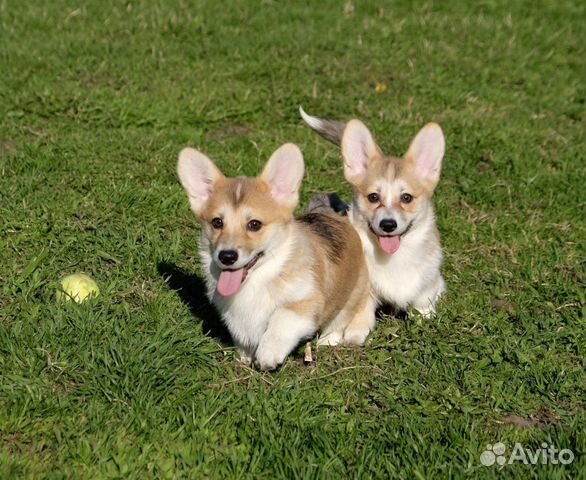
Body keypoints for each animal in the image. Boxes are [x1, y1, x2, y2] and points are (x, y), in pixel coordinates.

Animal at [176, 144, 372, 370]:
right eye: (217, 222)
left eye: (254, 224)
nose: (226, 256)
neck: (259, 278)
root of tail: (329, 214)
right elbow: (242, 333)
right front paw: (243, 357)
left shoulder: (305, 302)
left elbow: (282, 319)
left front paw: (268, 353)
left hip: (353, 292)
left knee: (340, 317)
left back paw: (328, 339)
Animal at [298, 109, 444, 318]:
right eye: (373, 197)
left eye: (406, 198)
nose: (388, 225)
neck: (394, 258)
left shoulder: (430, 286)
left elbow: (424, 304)